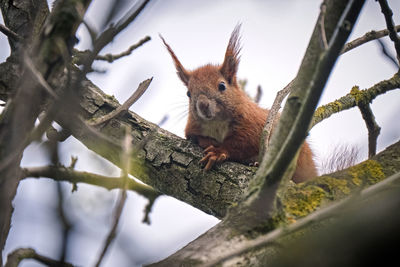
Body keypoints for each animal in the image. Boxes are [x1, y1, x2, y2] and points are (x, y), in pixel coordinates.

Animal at [161, 25, 318, 184]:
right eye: (188, 93)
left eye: (222, 86)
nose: (203, 105)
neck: (216, 123)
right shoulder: (193, 127)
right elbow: (193, 137)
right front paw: (205, 141)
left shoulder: (254, 125)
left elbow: (242, 144)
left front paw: (218, 152)